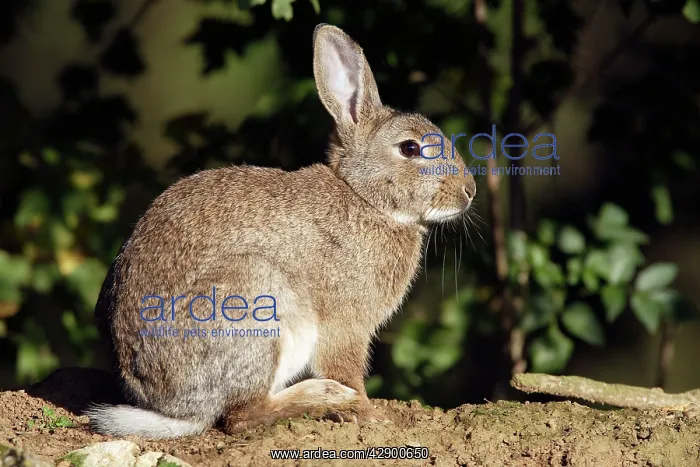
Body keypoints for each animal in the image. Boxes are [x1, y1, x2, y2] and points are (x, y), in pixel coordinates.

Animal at [86, 23, 476, 439]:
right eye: (410, 148)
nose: (469, 191)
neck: (364, 198)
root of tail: (172, 408)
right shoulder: (346, 324)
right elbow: (348, 370)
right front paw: (369, 414)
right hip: (254, 301)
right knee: (242, 416)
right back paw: (323, 397)